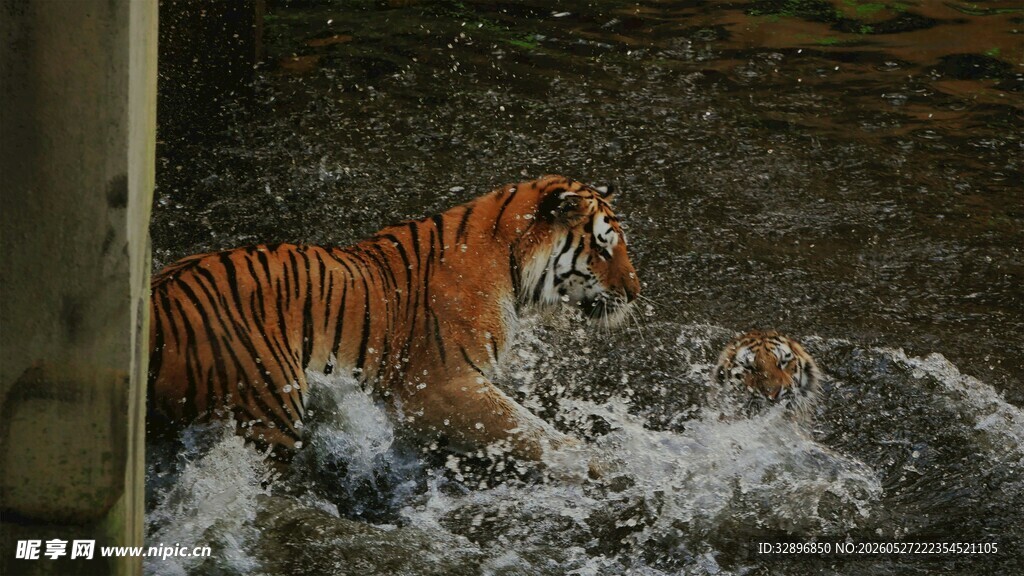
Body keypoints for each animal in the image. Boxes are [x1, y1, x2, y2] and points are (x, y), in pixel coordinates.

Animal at [148, 175, 640, 466]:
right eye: (604, 247)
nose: (636, 292)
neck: (511, 263)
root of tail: (156, 302)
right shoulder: (443, 387)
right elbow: (529, 430)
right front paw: (594, 465)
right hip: (269, 407)